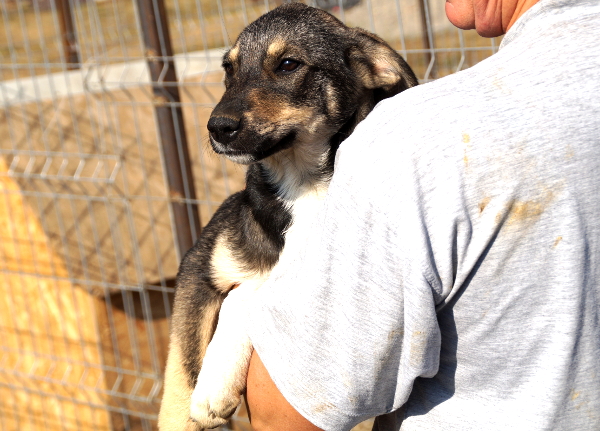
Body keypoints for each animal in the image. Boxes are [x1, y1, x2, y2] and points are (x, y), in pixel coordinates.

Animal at [158, 2, 418, 428]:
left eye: (288, 64)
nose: (217, 127)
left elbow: (249, 293)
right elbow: (179, 375)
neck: (300, 185)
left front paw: (214, 386)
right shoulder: (197, 267)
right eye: (228, 69)